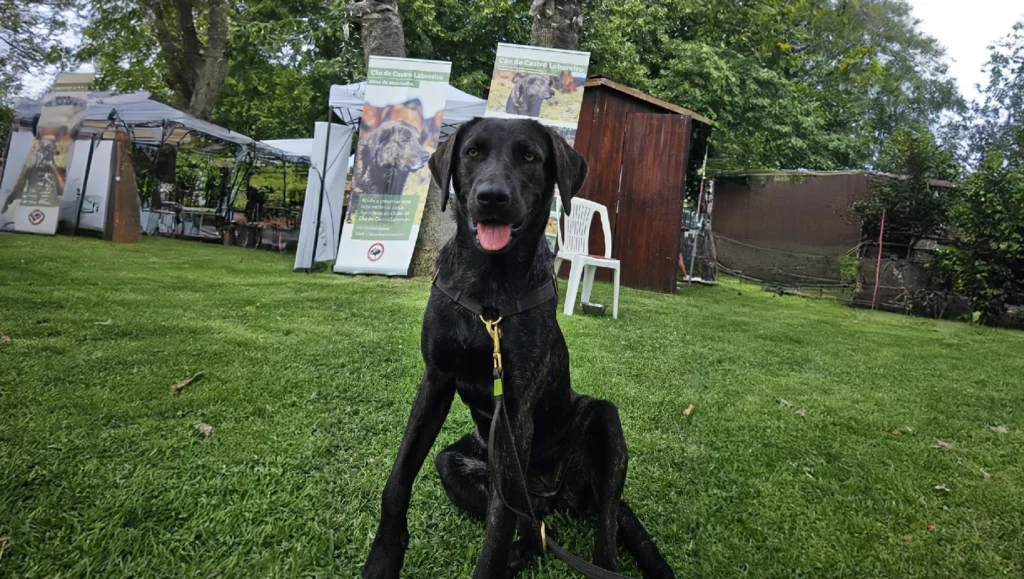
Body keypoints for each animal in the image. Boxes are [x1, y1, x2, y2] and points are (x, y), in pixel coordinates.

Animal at [364, 118, 675, 577]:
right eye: (472, 153)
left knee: (601, 534)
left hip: (603, 422)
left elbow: (495, 532)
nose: (492, 196)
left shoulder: (514, 411)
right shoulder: (435, 381)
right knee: (533, 529)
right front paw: (383, 559)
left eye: (529, 156)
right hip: (457, 464)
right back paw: (522, 551)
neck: (488, 291)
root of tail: (550, 494)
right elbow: (398, 479)